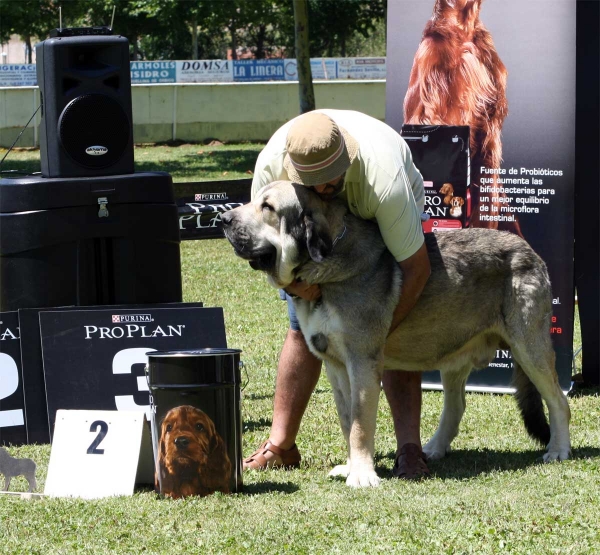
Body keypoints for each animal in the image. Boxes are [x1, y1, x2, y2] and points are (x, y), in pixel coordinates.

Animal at [220, 181, 572, 486]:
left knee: (558, 401)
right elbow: (347, 421)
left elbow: (360, 424)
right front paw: (351, 466)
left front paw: (362, 476)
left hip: (529, 348)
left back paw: (558, 450)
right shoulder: (335, 366)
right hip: (455, 357)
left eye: (267, 207)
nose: (223, 218)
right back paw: (434, 448)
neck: (326, 267)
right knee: (456, 406)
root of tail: (528, 249)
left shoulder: (362, 362)